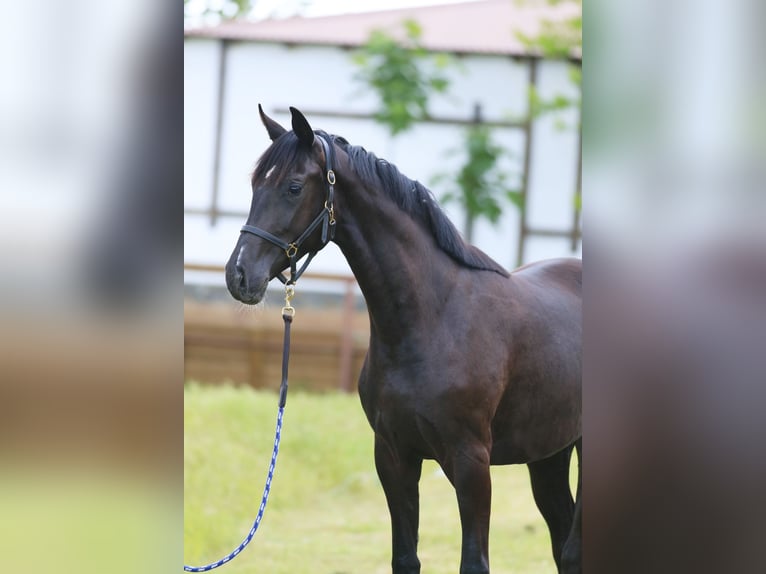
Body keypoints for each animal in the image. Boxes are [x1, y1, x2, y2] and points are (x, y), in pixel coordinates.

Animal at [225, 108, 584, 574]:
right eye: (254, 184)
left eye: (293, 186)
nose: (238, 275)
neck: (431, 321)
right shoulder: (393, 457)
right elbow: (405, 558)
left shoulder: (471, 463)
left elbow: (474, 562)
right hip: (548, 454)